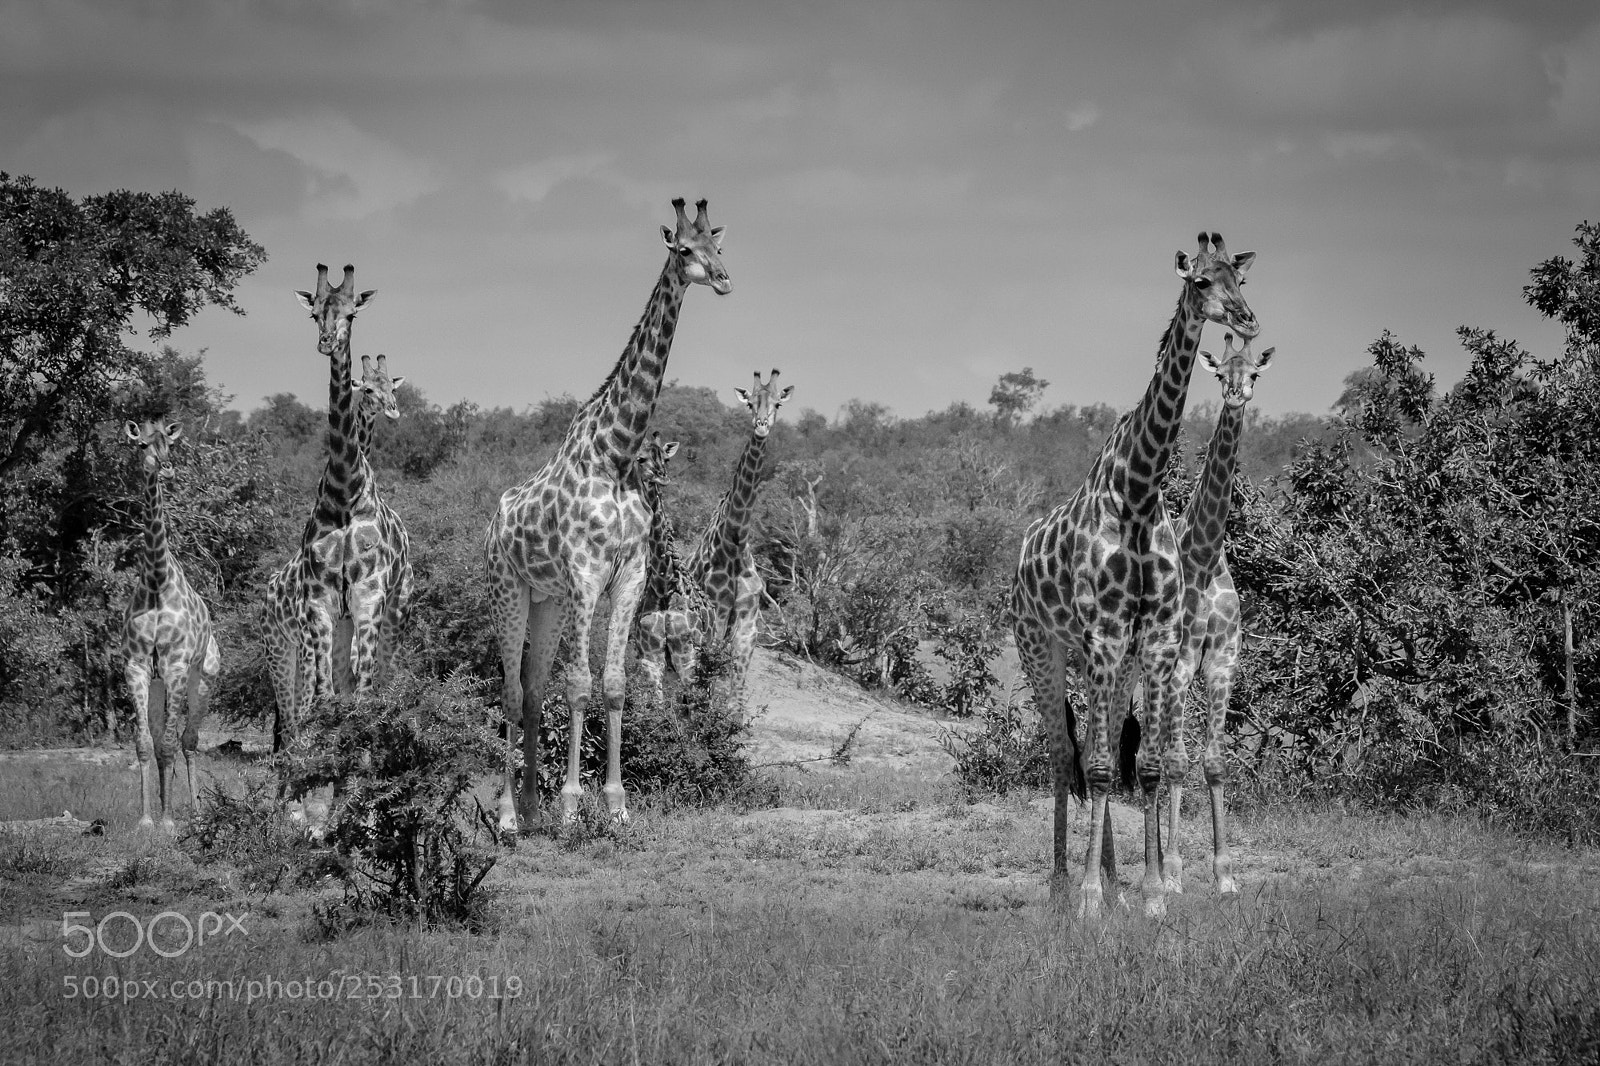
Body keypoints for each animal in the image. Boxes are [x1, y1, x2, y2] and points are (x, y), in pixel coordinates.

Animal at [118, 420, 222, 831]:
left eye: (170, 445)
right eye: (142, 444)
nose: (166, 469)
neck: (157, 582)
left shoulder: (177, 664)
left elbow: (169, 743)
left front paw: (167, 821)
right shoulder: (136, 666)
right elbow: (146, 743)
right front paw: (148, 819)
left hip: (203, 676)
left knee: (189, 739)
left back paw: (194, 812)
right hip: (160, 681)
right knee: (167, 735)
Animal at [633, 431, 714, 708]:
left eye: (665, 458)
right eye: (640, 458)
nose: (662, 476)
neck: (664, 584)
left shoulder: (687, 656)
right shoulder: (651, 658)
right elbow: (657, 708)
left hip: (704, 661)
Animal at [684, 368, 793, 718]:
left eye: (777, 403)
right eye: (750, 403)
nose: (761, 425)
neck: (735, 541)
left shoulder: (748, 619)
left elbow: (736, 690)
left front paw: (733, 720)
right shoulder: (717, 611)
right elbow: (710, 677)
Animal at [1010, 233, 1258, 919]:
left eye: (1239, 277)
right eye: (1200, 282)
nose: (1247, 319)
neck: (1141, 493)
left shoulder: (1159, 643)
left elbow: (1150, 765)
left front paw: (1150, 894)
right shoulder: (1104, 636)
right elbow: (1101, 767)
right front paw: (1094, 898)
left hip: (1114, 663)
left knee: (1103, 752)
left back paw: (1116, 881)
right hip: (1043, 649)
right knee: (1065, 756)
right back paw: (1064, 884)